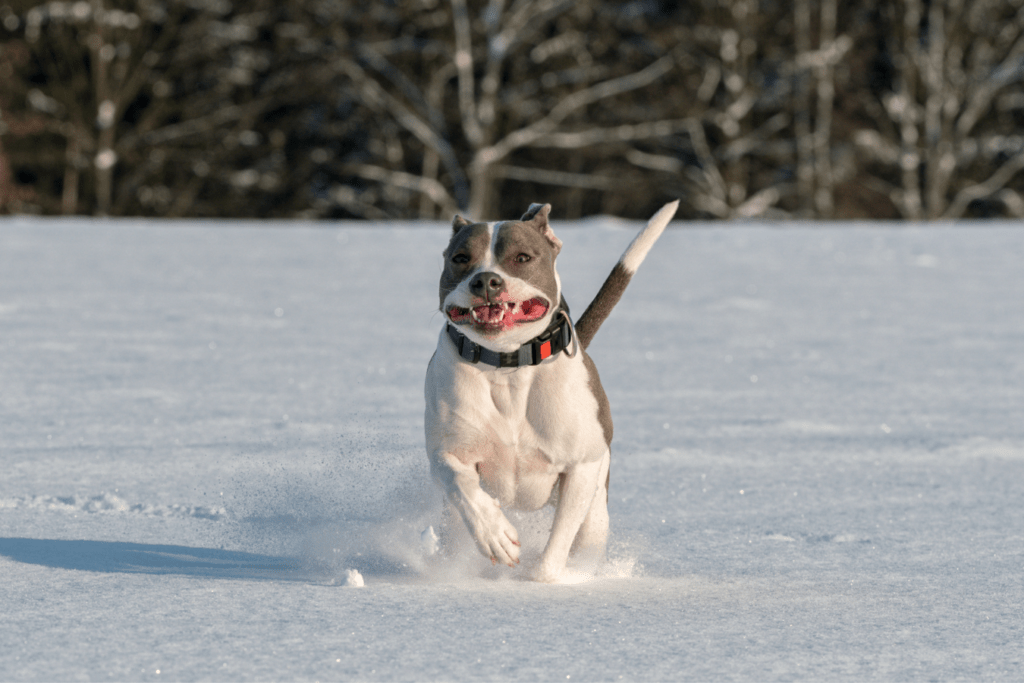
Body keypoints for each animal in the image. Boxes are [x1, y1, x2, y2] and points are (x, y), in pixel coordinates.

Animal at [423, 197, 679, 581]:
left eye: (522, 257)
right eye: (460, 258)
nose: (486, 281)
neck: (508, 364)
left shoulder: (582, 467)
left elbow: (557, 545)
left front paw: (541, 579)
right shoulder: (447, 451)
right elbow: (462, 486)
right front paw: (495, 534)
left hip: (597, 507)